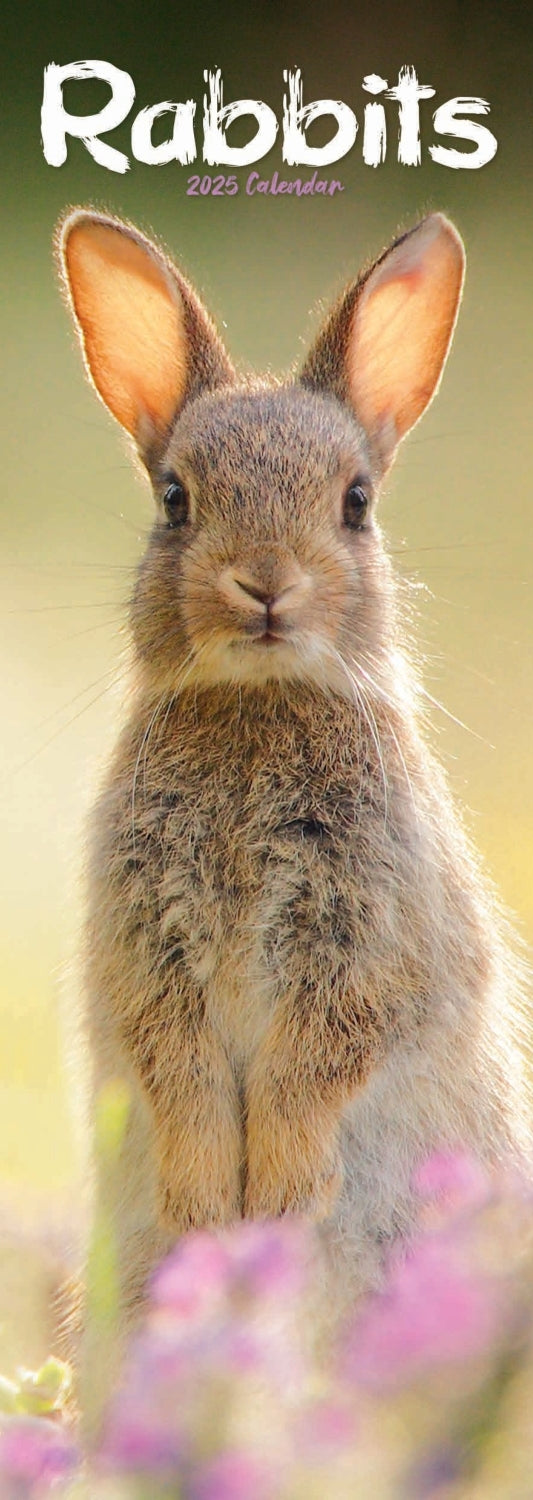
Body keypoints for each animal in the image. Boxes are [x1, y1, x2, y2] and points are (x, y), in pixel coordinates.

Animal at [57, 207, 531, 1338]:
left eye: (355, 502)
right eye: (175, 499)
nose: (263, 584)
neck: (258, 702)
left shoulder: (370, 941)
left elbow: (320, 1059)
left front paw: (273, 1196)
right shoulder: (145, 951)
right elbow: (175, 1057)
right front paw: (203, 1200)